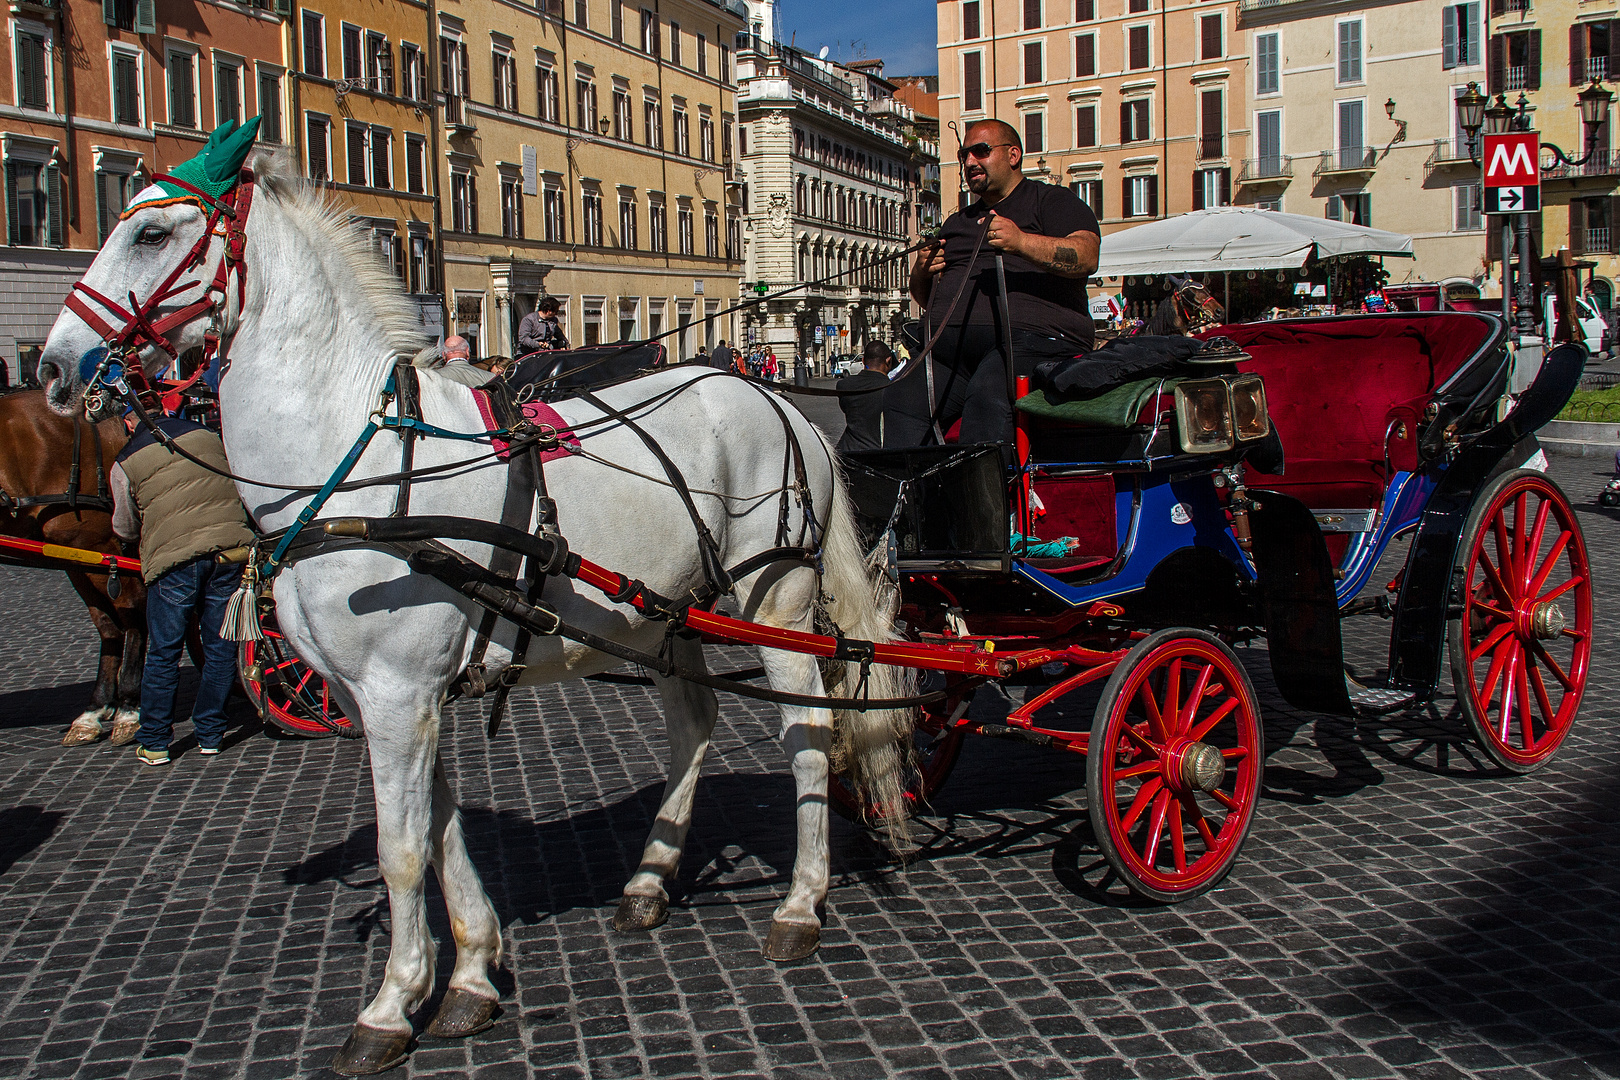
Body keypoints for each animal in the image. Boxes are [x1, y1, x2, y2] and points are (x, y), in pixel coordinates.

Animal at [0, 393, 146, 748]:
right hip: (76, 555)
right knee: (108, 624)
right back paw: (96, 709)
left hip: (95, 540)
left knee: (132, 611)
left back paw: (128, 707)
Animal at [38, 149, 913, 1075]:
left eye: (151, 233)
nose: (53, 366)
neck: (360, 462)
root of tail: (777, 401)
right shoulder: (383, 696)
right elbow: (440, 829)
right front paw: (468, 975)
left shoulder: (396, 694)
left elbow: (400, 849)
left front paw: (391, 1004)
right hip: (667, 613)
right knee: (695, 723)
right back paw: (650, 878)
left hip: (773, 598)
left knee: (809, 729)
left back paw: (800, 903)